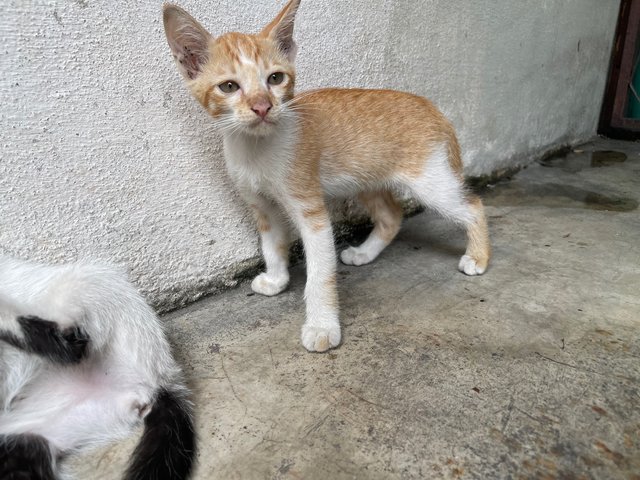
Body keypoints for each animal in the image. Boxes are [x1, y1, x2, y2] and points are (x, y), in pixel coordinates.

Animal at [164, 0, 490, 352]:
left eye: (275, 78)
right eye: (228, 86)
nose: (262, 106)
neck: (256, 149)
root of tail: (431, 107)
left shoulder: (311, 210)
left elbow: (320, 273)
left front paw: (322, 326)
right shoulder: (261, 205)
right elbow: (272, 244)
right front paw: (277, 279)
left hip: (429, 181)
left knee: (472, 205)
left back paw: (478, 257)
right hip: (366, 180)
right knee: (392, 215)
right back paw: (364, 252)